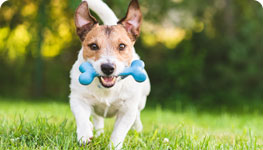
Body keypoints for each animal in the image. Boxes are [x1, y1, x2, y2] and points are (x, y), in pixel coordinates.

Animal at [69, 0, 151, 148]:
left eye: (122, 46)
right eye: (93, 46)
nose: (108, 68)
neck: (108, 89)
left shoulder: (127, 110)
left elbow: (119, 131)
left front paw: (114, 146)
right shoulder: (78, 99)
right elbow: (82, 117)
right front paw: (85, 134)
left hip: (141, 101)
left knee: (137, 115)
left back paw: (137, 129)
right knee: (97, 118)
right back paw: (97, 132)